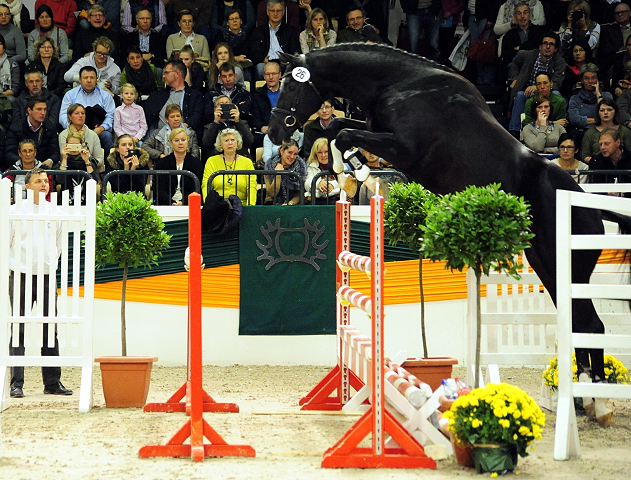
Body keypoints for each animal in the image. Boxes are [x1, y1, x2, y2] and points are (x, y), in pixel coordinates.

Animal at [270, 43, 631, 422]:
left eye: (292, 87)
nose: (275, 132)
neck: (400, 85)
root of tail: (587, 204)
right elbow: (340, 125)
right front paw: (348, 168)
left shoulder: (403, 148)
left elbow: (342, 133)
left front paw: (352, 169)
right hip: (547, 265)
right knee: (579, 323)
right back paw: (582, 402)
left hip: (565, 265)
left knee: (591, 325)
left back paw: (598, 402)